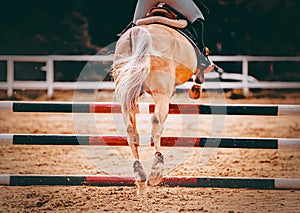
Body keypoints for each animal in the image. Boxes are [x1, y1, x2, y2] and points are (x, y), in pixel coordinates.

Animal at [111, 20, 214, 195]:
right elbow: (200, 74)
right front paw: (195, 90)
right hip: (161, 93)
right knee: (156, 122)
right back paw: (156, 170)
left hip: (126, 94)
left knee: (131, 130)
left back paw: (140, 175)